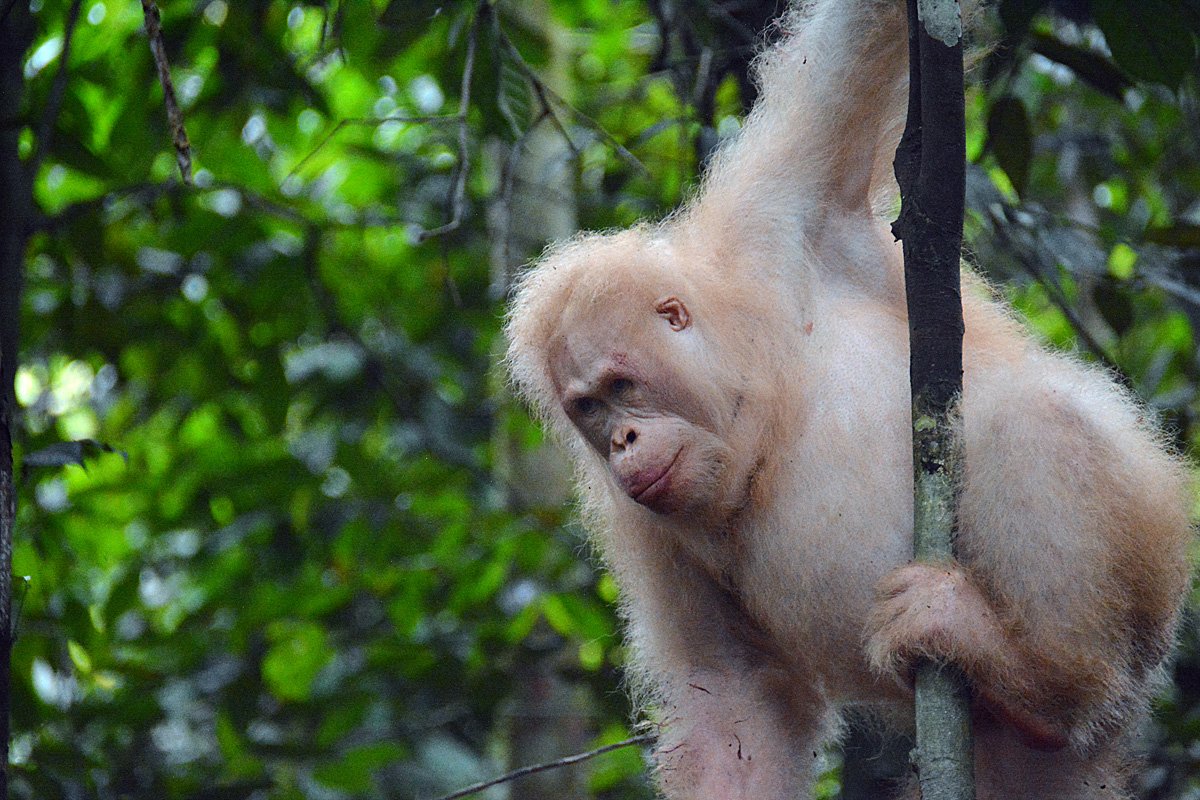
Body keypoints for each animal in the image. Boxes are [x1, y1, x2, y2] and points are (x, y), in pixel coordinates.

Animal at [504, 1, 1193, 798]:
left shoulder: (777, 207)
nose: (623, 442)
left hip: (1153, 538)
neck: (760, 400)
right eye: (590, 410)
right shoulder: (642, 525)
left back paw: (1048, 684)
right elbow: (733, 704)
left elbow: (863, 41)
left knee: (1029, 420)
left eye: (621, 387)